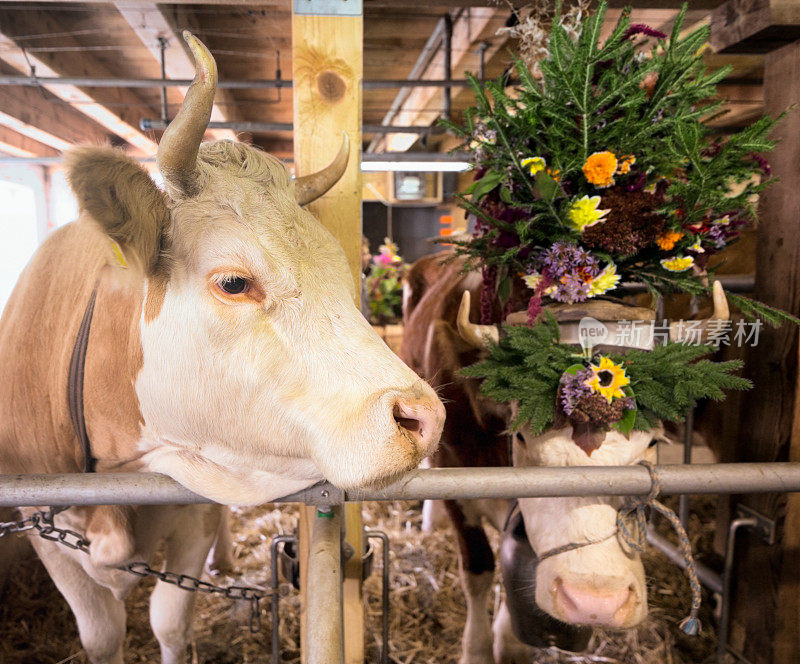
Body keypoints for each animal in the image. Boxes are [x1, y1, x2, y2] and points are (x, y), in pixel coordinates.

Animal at [1, 35, 444, 664]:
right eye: (235, 282)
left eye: (345, 271)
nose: (423, 418)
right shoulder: (43, 525)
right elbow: (102, 633)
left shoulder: (195, 511)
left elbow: (168, 621)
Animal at [404, 253, 728, 664]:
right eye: (521, 437)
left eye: (653, 443)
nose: (596, 602)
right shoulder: (455, 479)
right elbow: (477, 570)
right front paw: (475, 650)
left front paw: (509, 643)